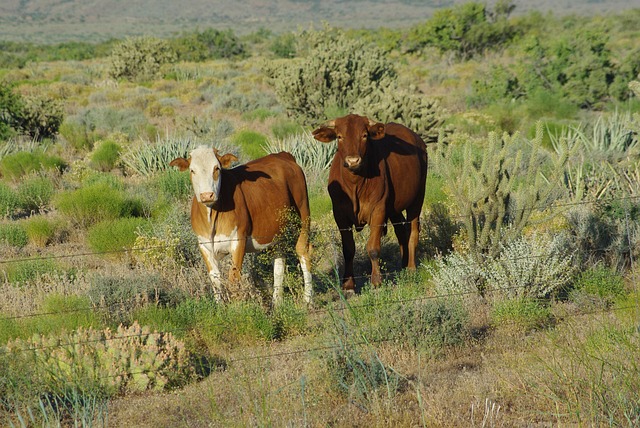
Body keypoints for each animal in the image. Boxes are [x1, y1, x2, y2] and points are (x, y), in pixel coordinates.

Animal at [170, 146, 313, 305]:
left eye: (217, 168)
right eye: (192, 170)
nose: (207, 195)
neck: (211, 216)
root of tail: (283, 155)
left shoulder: (238, 240)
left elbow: (234, 276)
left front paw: (237, 308)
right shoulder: (203, 244)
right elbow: (215, 279)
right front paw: (220, 307)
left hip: (303, 213)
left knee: (303, 250)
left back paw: (307, 299)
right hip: (278, 230)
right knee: (279, 261)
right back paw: (276, 302)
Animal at [312, 114, 427, 292]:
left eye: (364, 135)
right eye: (339, 136)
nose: (353, 161)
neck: (355, 184)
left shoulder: (378, 210)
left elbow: (373, 247)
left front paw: (376, 282)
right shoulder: (340, 214)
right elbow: (348, 249)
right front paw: (348, 285)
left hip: (417, 198)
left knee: (413, 231)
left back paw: (411, 268)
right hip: (394, 208)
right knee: (401, 231)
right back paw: (402, 265)